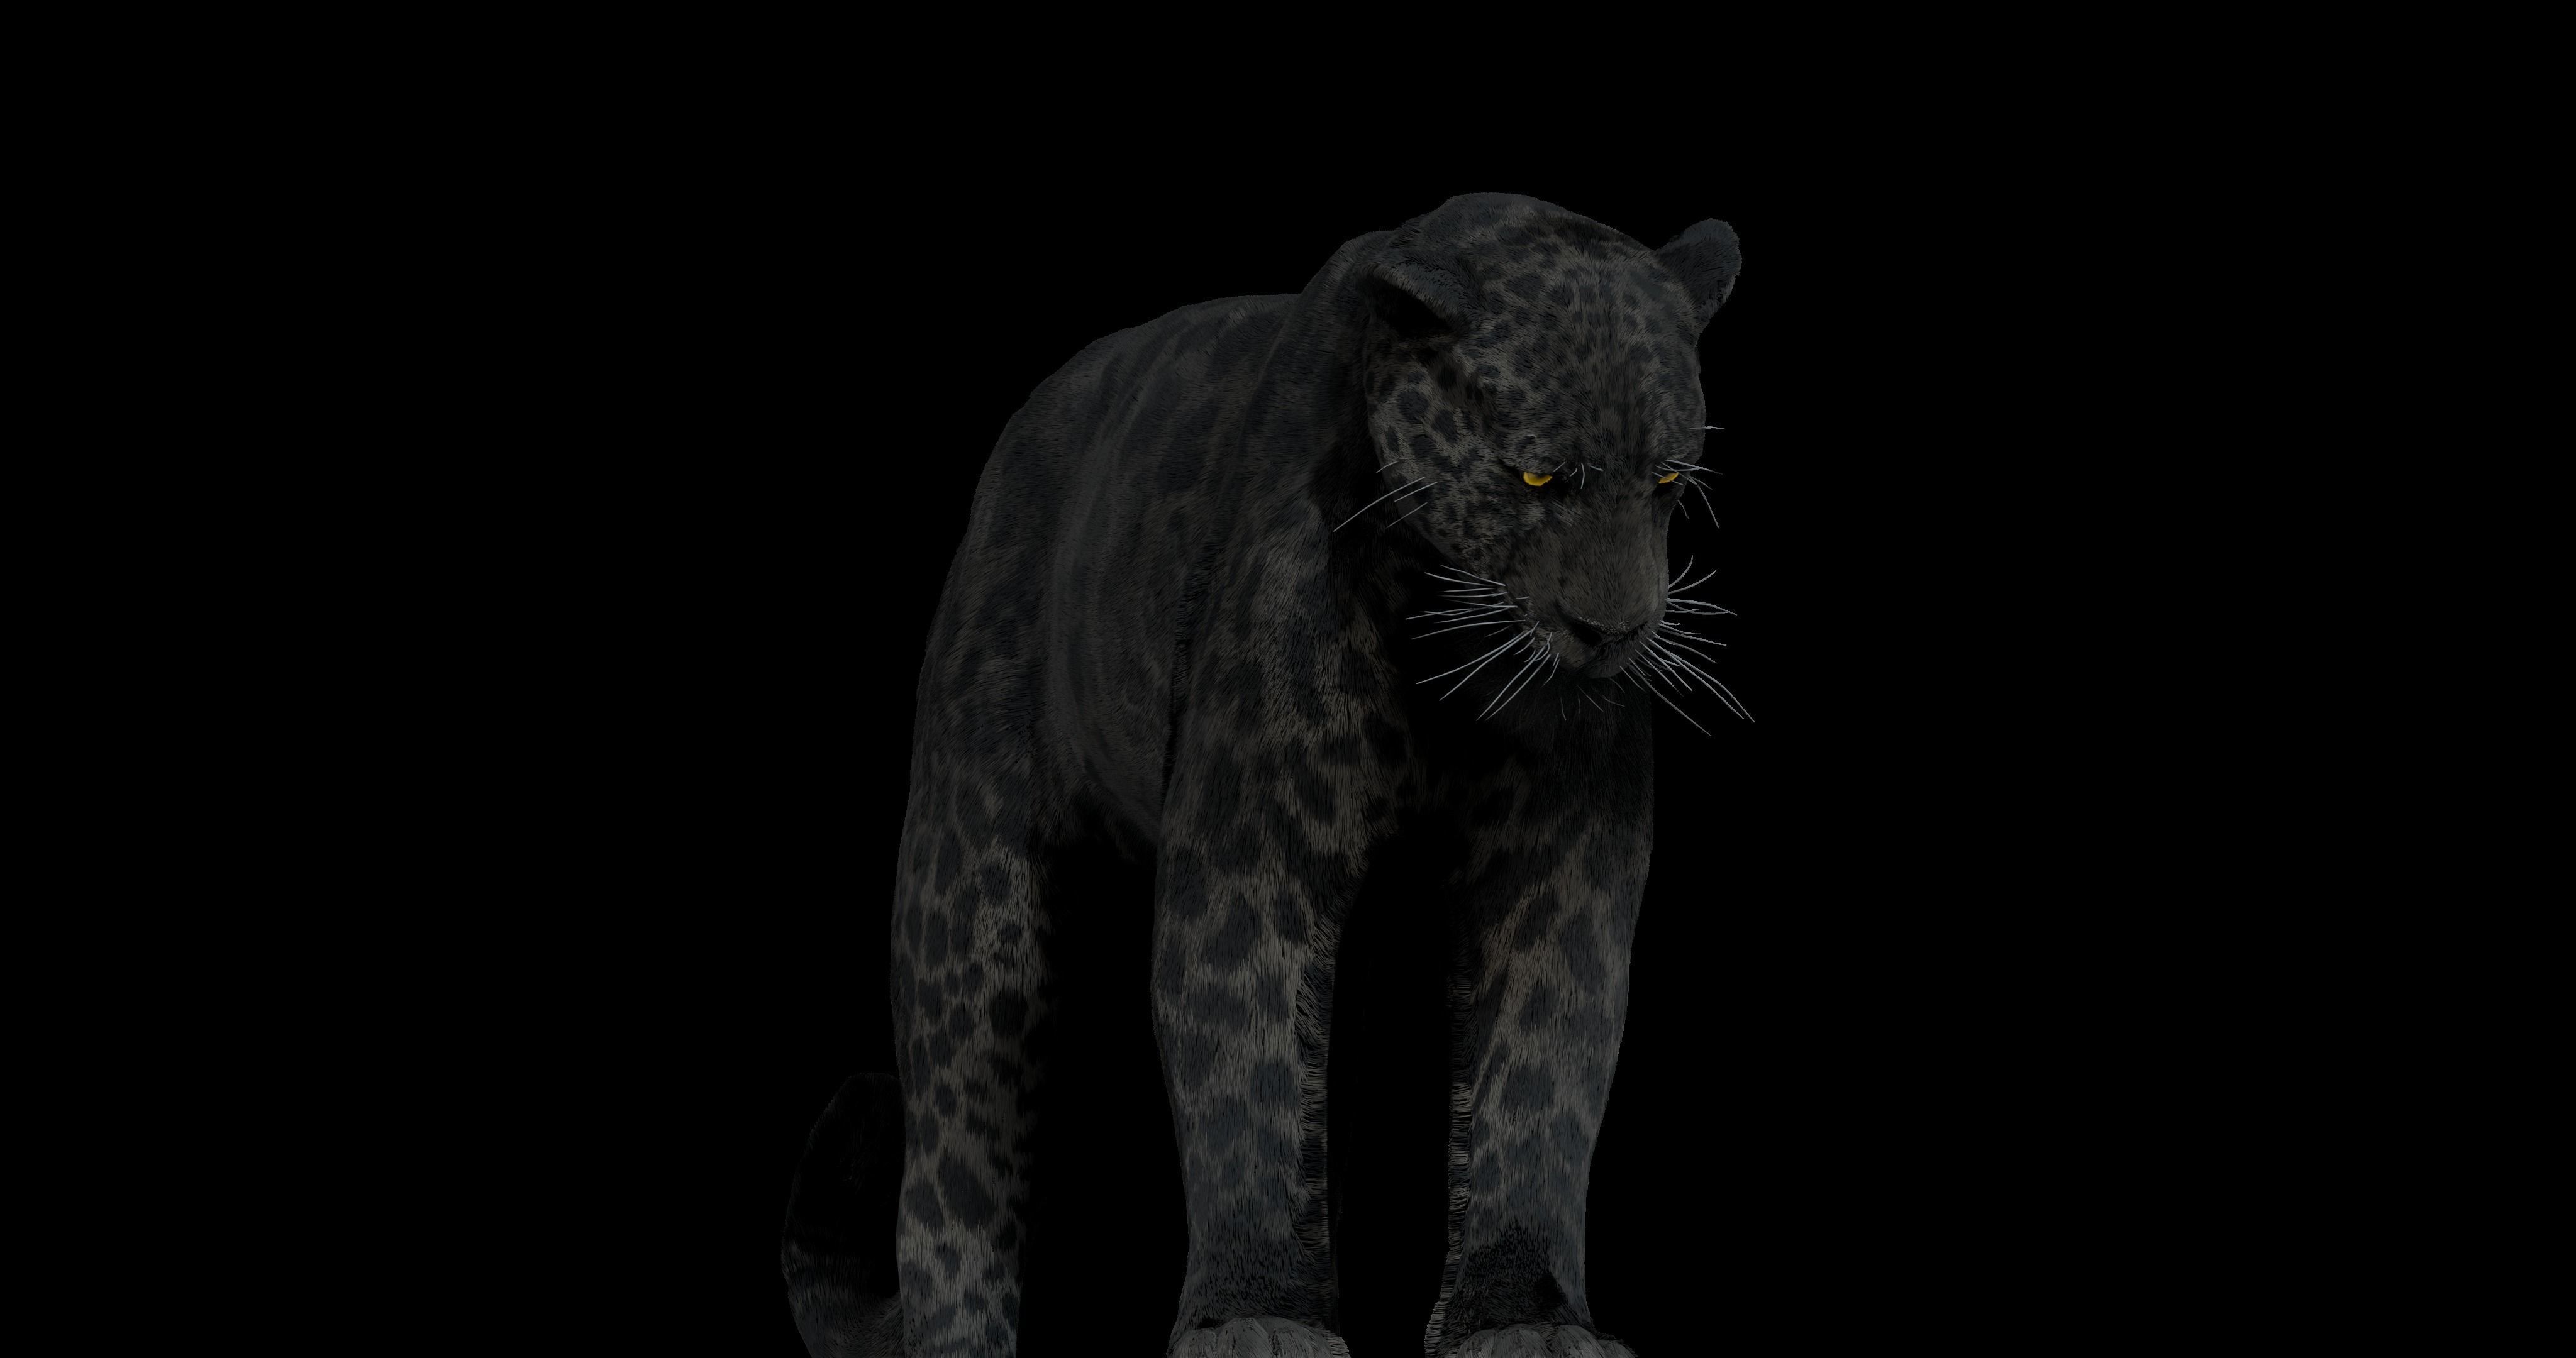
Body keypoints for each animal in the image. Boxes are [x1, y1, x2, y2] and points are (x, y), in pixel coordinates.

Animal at [783, 191, 1747, 1357]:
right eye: (1534, 476)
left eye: (1668, 479)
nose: (1612, 632)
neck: (1440, 649)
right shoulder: (1256, 850)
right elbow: (1243, 1067)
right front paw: (1255, 1317)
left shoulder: (1554, 873)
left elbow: (1540, 1081)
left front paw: (1528, 1320)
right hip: (974, 896)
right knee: (956, 1152)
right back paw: (961, 1336)